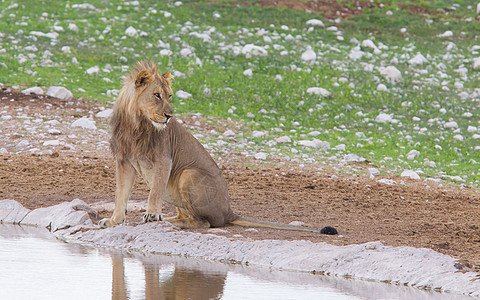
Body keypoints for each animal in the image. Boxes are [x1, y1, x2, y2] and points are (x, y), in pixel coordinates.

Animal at [98, 60, 338, 234]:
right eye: (156, 95)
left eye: (170, 96)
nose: (169, 116)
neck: (135, 123)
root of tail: (229, 211)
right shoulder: (124, 160)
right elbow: (121, 193)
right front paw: (113, 220)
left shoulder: (164, 159)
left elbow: (154, 191)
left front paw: (152, 215)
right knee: (188, 216)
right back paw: (169, 219)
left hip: (188, 173)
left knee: (204, 223)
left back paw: (168, 222)